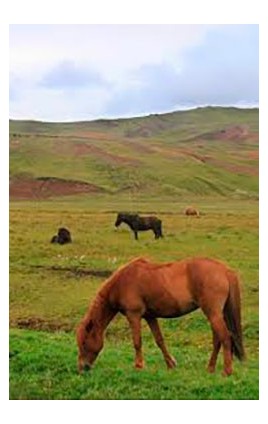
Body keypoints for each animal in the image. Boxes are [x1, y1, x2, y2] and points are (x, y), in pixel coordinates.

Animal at [76, 256, 245, 376]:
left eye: (84, 343)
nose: (82, 368)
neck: (122, 282)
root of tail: (224, 270)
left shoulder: (133, 315)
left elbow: (137, 341)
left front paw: (138, 366)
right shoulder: (150, 317)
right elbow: (159, 340)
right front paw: (170, 364)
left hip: (213, 313)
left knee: (225, 338)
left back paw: (227, 371)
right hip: (215, 314)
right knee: (217, 340)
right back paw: (210, 368)